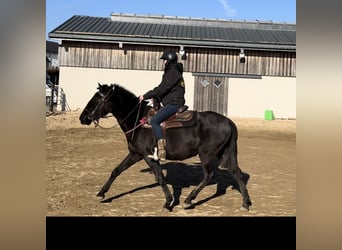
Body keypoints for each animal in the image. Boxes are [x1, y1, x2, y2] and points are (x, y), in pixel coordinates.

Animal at [79, 83, 251, 211]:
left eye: (95, 100)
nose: (83, 118)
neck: (137, 121)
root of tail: (227, 121)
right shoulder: (135, 154)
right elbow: (117, 170)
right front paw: (101, 193)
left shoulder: (148, 156)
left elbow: (161, 178)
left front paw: (168, 202)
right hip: (225, 153)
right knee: (236, 173)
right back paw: (245, 203)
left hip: (207, 154)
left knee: (208, 175)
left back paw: (189, 200)